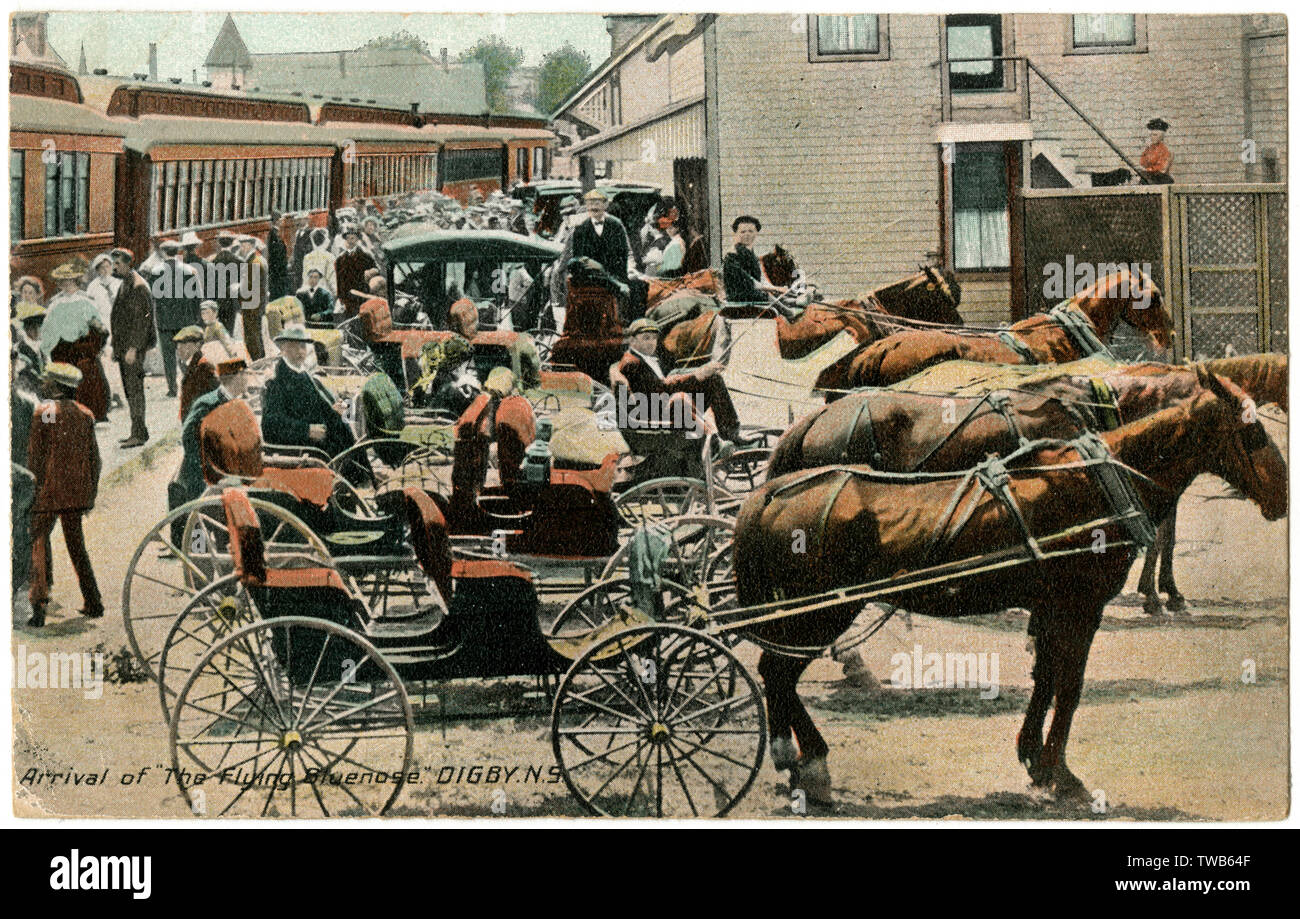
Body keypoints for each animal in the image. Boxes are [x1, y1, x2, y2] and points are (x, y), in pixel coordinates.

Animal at [738, 369, 1284, 811]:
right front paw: (1063, 776)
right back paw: (809, 763)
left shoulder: (1050, 607)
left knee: (775, 675)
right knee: (778, 674)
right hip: (818, 614)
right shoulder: (1079, 607)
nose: (1281, 495)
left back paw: (799, 763)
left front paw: (1035, 762)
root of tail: (767, 495)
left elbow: (1045, 679)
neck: (1097, 483)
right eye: (1252, 430)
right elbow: (1069, 687)